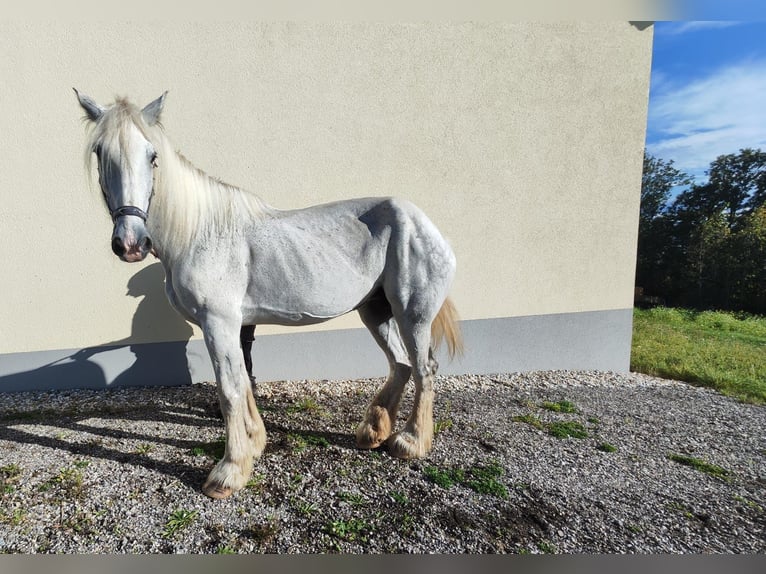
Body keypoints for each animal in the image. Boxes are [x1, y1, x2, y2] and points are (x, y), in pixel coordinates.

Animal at [74, 90, 463, 499]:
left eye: (152, 155)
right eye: (100, 153)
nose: (131, 244)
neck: (198, 233)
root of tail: (426, 224)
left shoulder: (219, 323)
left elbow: (229, 389)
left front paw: (229, 472)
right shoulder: (232, 327)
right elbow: (243, 381)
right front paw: (255, 443)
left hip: (412, 313)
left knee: (423, 368)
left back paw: (410, 442)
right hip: (376, 311)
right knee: (400, 365)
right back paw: (372, 433)